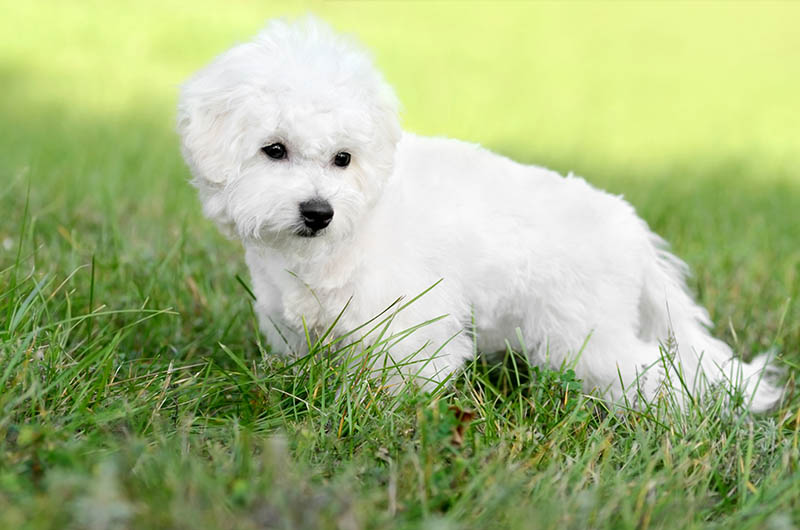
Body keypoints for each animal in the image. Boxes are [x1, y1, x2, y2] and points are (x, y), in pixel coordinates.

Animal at [178, 16, 784, 410]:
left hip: (581, 336)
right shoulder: (295, 323)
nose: (318, 212)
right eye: (274, 150)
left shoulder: (413, 323)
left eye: (342, 158)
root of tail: (630, 229)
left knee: (653, 372)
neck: (347, 234)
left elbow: (404, 380)